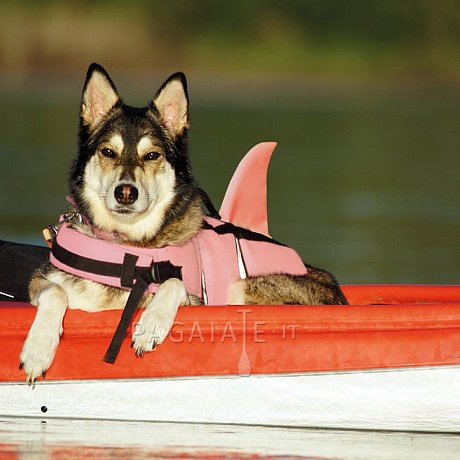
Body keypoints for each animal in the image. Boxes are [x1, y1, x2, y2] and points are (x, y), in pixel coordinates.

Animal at [18, 62, 348, 384]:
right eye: (108, 152)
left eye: (152, 155)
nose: (125, 192)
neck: (126, 247)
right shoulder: (42, 281)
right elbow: (54, 292)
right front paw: (37, 349)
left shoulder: (195, 300)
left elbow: (174, 282)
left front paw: (150, 324)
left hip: (242, 288)